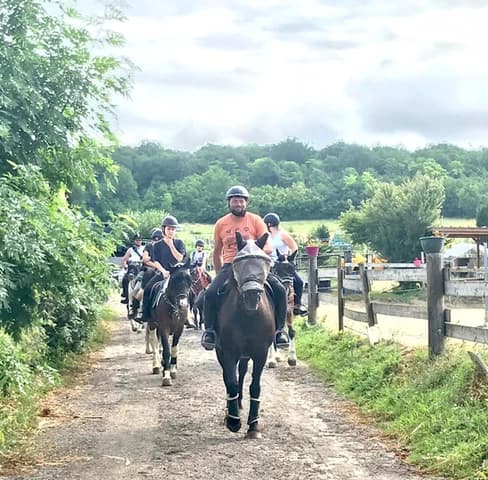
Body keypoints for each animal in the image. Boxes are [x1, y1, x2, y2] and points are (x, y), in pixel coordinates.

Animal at [146, 258, 192, 386]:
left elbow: (174, 349)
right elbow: (166, 350)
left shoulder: (179, 328)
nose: (183, 304)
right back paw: (156, 365)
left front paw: (172, 370)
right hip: (152, 324)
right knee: (154, 342)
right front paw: (166, 376)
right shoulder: (163, 328)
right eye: (175, 280)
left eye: (189, 280)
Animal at [216, 232, 274, 438]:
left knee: (241, 372)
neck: (248, 315)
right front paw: (233, 421)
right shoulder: (228, 351)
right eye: (239, 263)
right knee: (228, 378)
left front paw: (253, 425)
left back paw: (240, 402)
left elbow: (255, 386)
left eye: (264, 262)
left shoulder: (260, 353)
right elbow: (231, 382)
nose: (252, 295)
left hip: (246, 354)